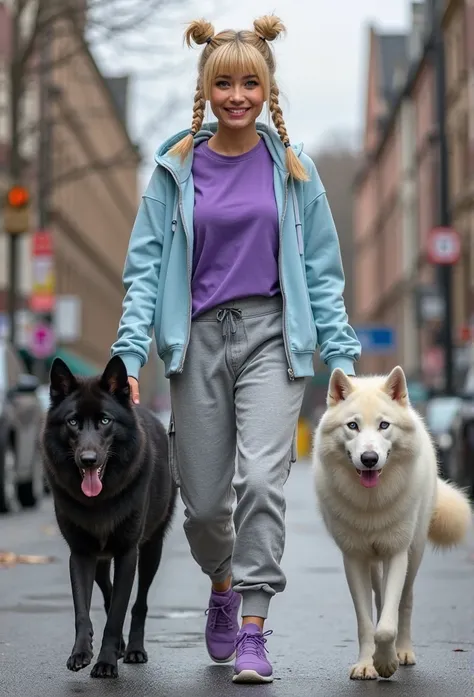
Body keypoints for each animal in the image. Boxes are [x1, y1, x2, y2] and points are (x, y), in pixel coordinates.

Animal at [41, 356, 176, 676]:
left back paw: (135, 649)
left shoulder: (128, 553)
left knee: (138, 603)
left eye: (105, 421)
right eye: (73, 422)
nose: (88, 460)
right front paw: (81, 652)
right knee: (107, 591)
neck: (99, 500)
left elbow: (117, 613)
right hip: (102, 560)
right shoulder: (80, 554)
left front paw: (105, 662)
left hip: (151, 550)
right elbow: (83, 608)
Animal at [312, 368, 472, 676]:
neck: (371, 503)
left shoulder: (396, 552)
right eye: (353, 426)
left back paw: (404, 651)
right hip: (375, 563)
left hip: (414, 553)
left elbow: (387, 624)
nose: (369, 459)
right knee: (380, 597)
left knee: (404, 602)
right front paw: (367, 664)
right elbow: (366, 622)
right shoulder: (355, 558)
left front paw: (387, 662)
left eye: (384, 425)